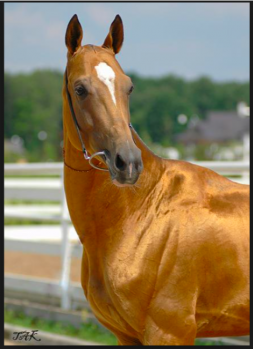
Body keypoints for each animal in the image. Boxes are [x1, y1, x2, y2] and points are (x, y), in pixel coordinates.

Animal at [62, 14, 249, 346]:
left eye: (129, 87)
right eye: (80, 88)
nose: (128, 163)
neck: (142, 214)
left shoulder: (170, 332)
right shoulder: (127, 336)